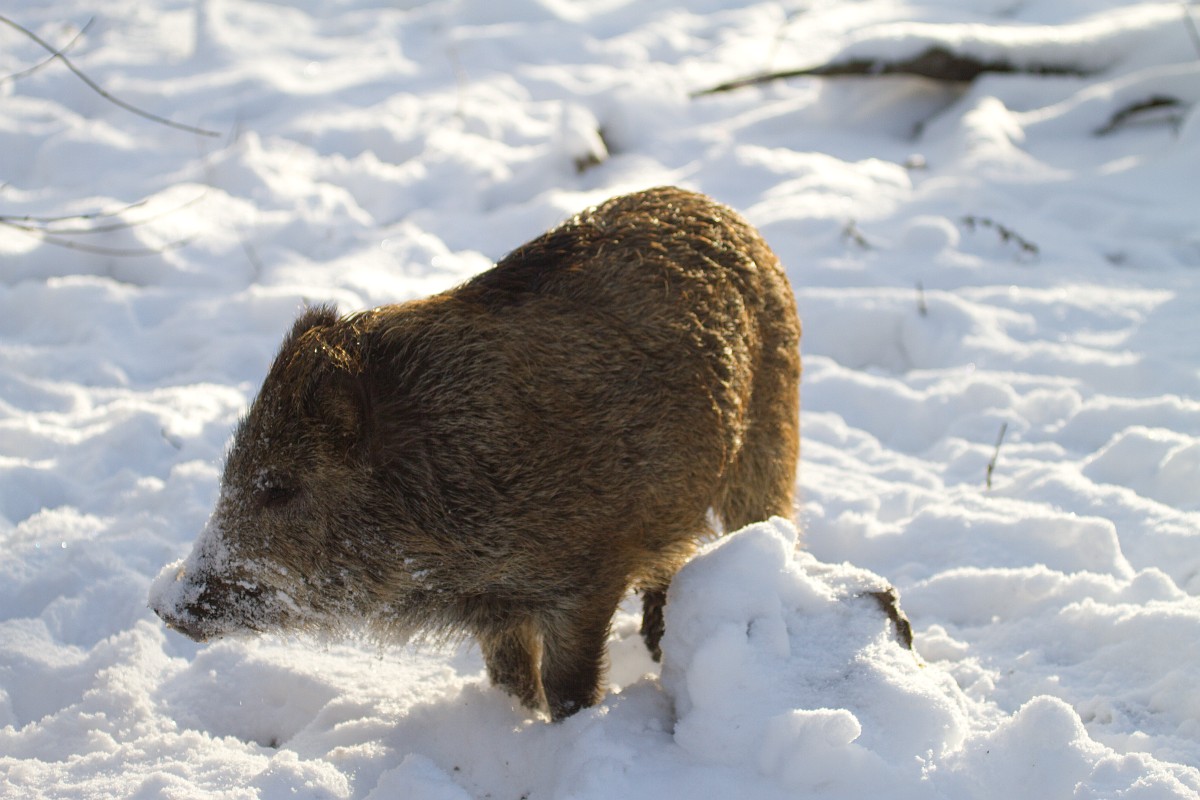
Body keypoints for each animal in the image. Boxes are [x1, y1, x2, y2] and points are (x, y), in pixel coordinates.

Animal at [149, 186, 801, 721]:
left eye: (280, 486)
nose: (161, 604)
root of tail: (735, 218)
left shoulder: (589, 573)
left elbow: (567, 685)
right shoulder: (495, 609)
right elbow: (511, 680)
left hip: (771, 433)